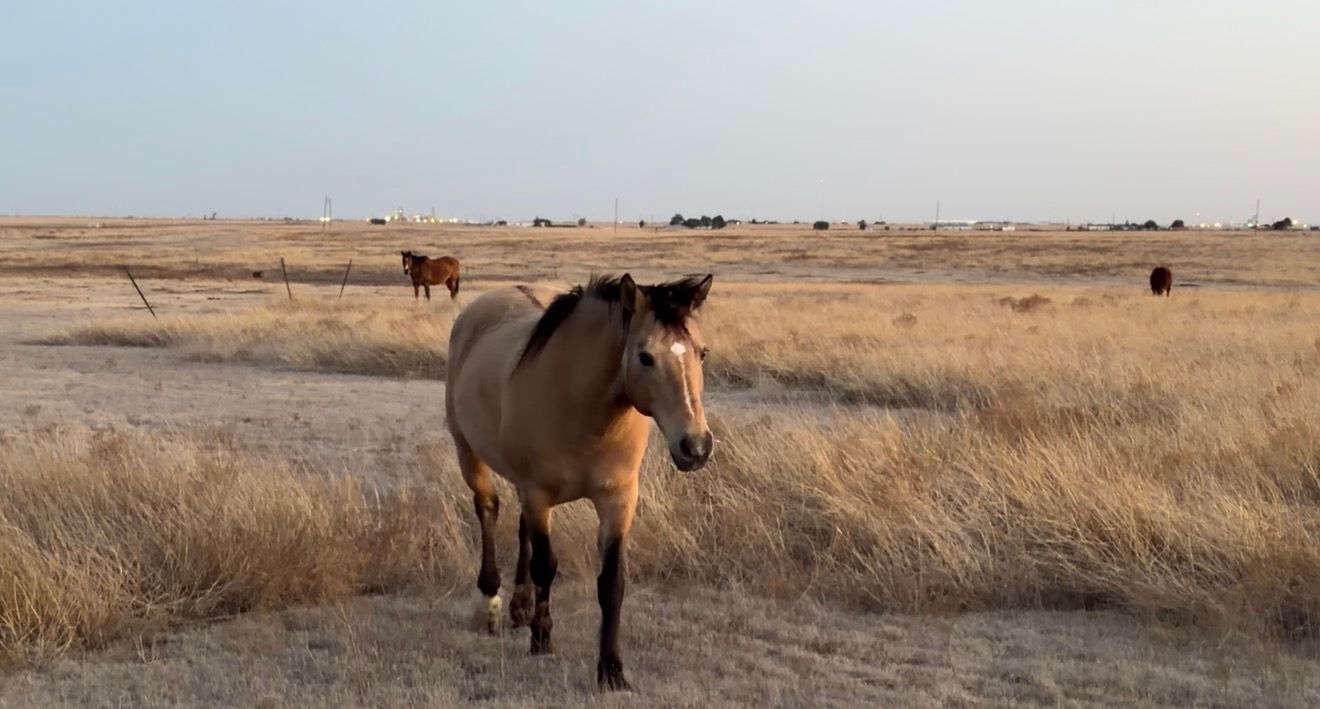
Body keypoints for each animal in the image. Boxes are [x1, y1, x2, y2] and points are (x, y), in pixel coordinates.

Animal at [445, 273, 715, 691]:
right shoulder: (538, 494)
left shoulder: (618, 500)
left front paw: (611, 669)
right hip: (468, 452)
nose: (696, 446)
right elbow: (546, 566)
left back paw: (519, 607)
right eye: (645, 357)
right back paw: (490, 602)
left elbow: (612, 583)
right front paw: (542, 639)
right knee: (488, 509)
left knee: (520, 526)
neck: (583, 410)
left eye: (701, 353)